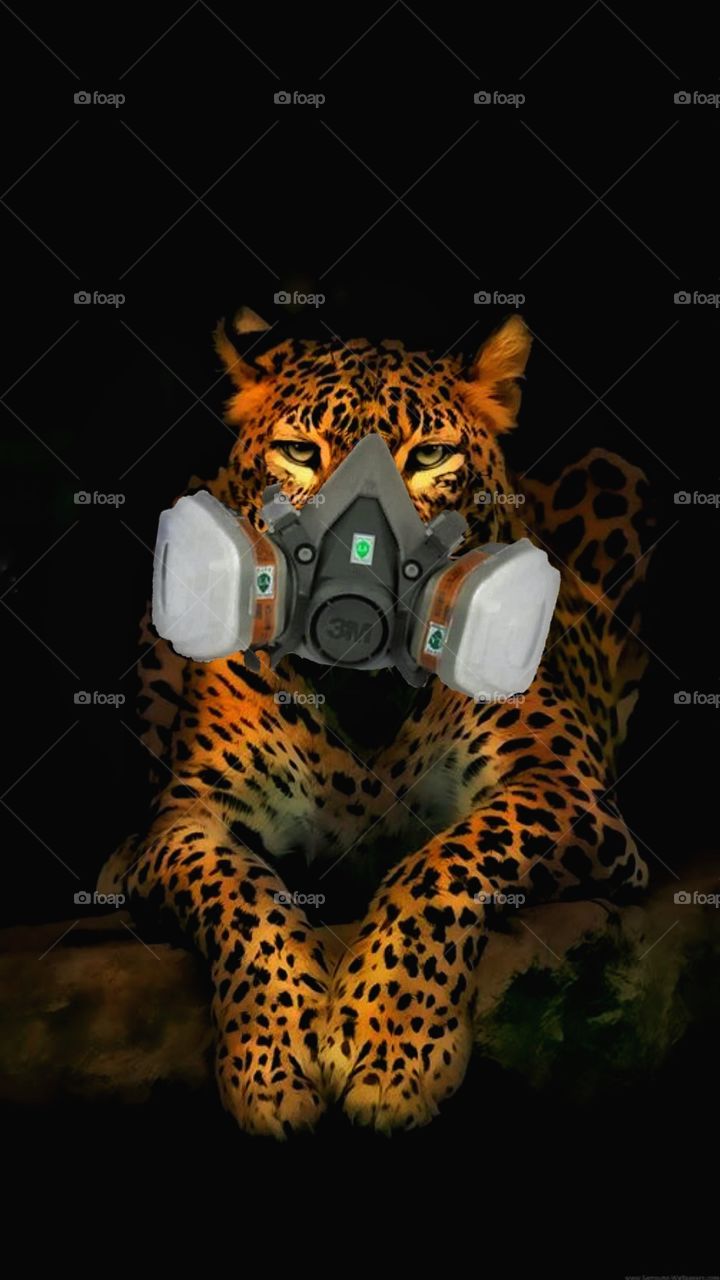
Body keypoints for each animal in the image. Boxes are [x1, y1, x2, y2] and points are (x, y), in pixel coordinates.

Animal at [98, 308, 653, 1137]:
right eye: (301, 453)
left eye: (429, 457)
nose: (356, 577)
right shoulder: (192, 820)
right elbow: (242, 896)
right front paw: (274, 1060)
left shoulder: (564, 787)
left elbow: (443, 863)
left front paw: (391, 1047)